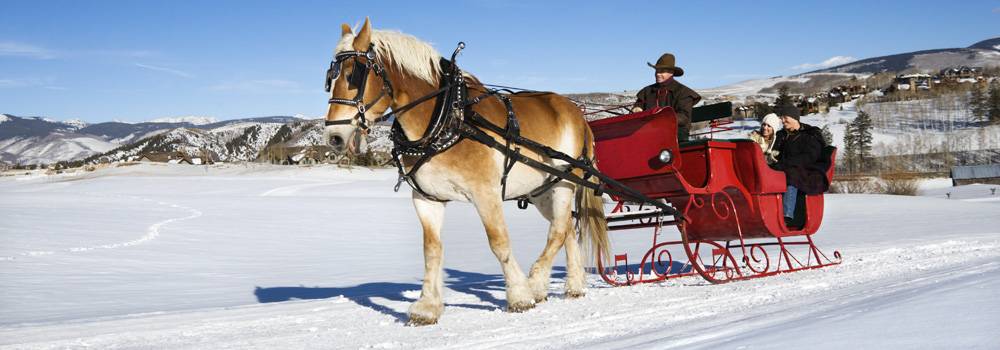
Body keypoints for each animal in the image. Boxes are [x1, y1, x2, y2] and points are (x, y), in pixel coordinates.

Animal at [328, 18, 608, 326]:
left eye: (353, 75)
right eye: (330, 77)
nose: (334, 137)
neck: (447, 116)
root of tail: (578, 113)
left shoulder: (485, 193)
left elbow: (499, 242)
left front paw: (519, 295)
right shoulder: (427, 199)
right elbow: (431, 249)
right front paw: (427, 307)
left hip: (563, 183)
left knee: (557, 231)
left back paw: (536, 283)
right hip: (542, 190)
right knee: (566, 227)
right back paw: (574, 285)